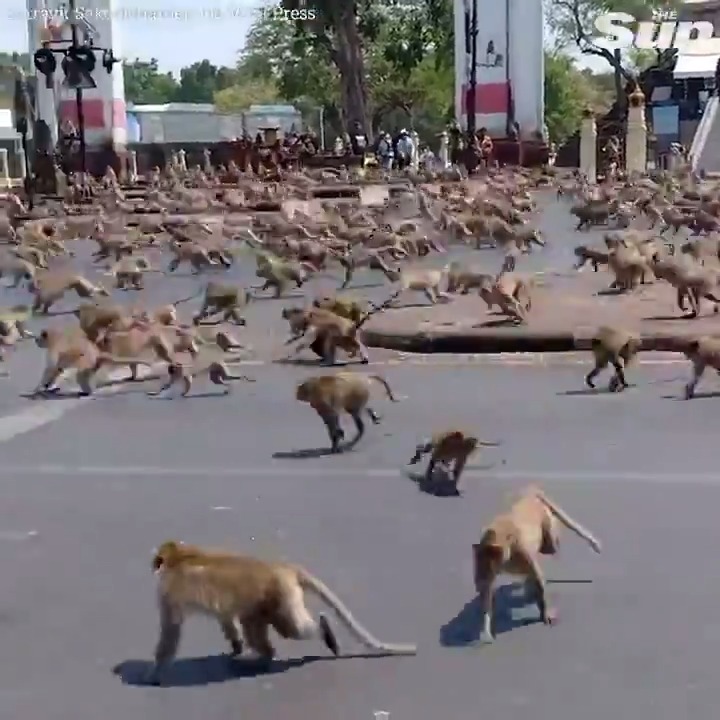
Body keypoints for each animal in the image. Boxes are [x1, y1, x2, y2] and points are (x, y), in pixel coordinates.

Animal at [144, 540, 417, 685]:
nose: (152, 567)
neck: (179, 556)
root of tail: (283, 568)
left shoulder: (169, 593)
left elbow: (171, 630)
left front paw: (155, 673)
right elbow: (227, 618)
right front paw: (236, 646)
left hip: (282, 598)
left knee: (292, 629)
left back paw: (322, 631)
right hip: (267, 603)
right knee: (252, 625)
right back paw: (264, 654)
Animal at [472, 485, 601, 643]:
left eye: (489, 560)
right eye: (479, 562)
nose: (480, 575)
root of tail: (531, 491)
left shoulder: (521, 551)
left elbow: (538, 578)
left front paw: (545, 613)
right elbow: (486, 591)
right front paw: (486, 632)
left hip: (546, 526)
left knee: (551, 546)